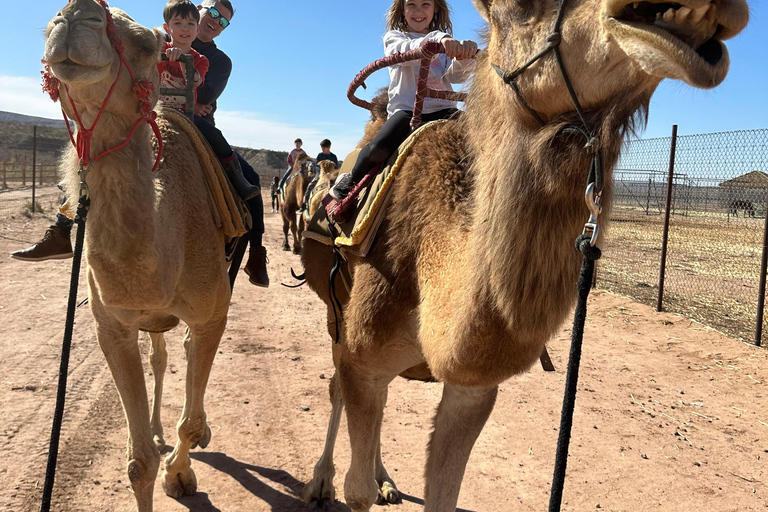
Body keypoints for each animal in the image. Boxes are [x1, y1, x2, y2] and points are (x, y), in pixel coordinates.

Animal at [44, 1, 237, 510]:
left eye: (149, 45)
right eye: (50, 21)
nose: (76, 16)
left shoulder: (213, 313)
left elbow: (187, 418)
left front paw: (180, 474)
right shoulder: (112, 327)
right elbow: (137, 463)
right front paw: (154, 452)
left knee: (185, 352)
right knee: (161, 355)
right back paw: (153, 428)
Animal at [301, 1, 749, 510]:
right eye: (515, 9)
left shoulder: (473, 390)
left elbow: (443, 494)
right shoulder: (364, 359)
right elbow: (355, 486)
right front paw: (340, 484)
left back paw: (386, 479)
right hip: (336, 312)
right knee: (336, 386)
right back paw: (322, 481)